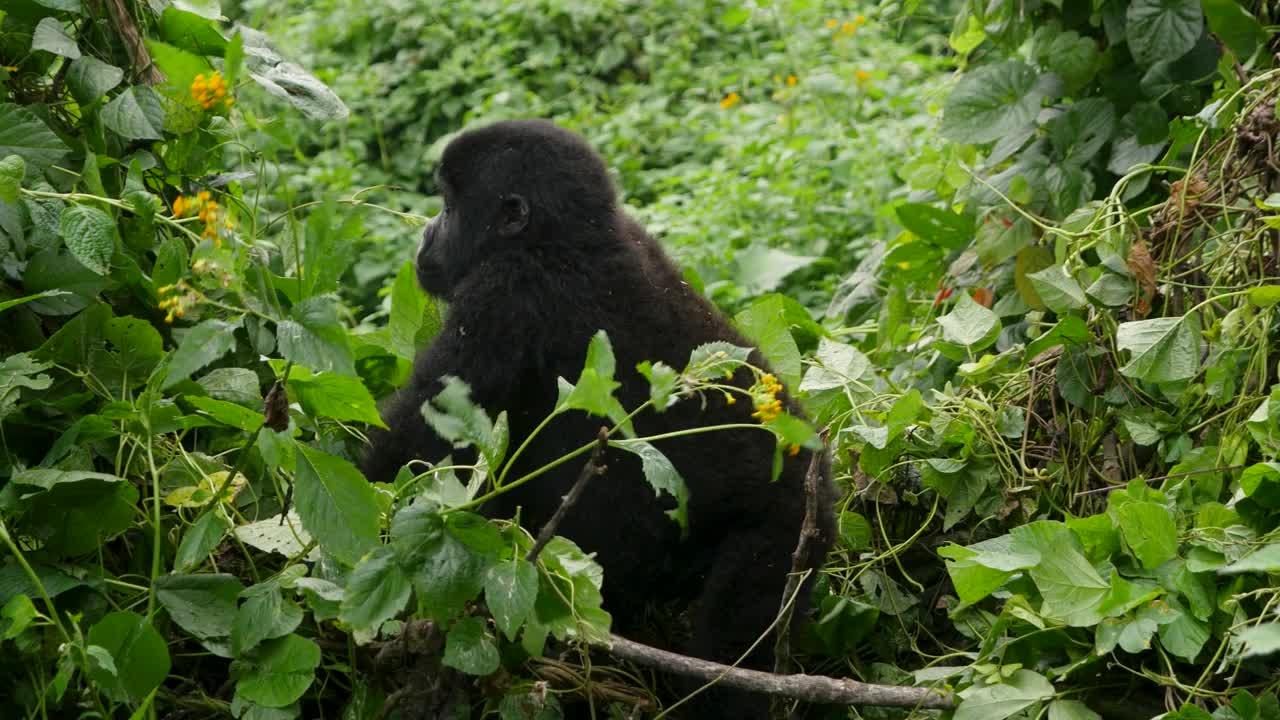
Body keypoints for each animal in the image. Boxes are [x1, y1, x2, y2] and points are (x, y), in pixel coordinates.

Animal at [363, 117, 839, 712]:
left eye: (449, 207)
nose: (426, 233)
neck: (565, 236)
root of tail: (819, 478)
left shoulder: (505, 295)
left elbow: (412, 444)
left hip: (777, 534)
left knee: (735, 646)